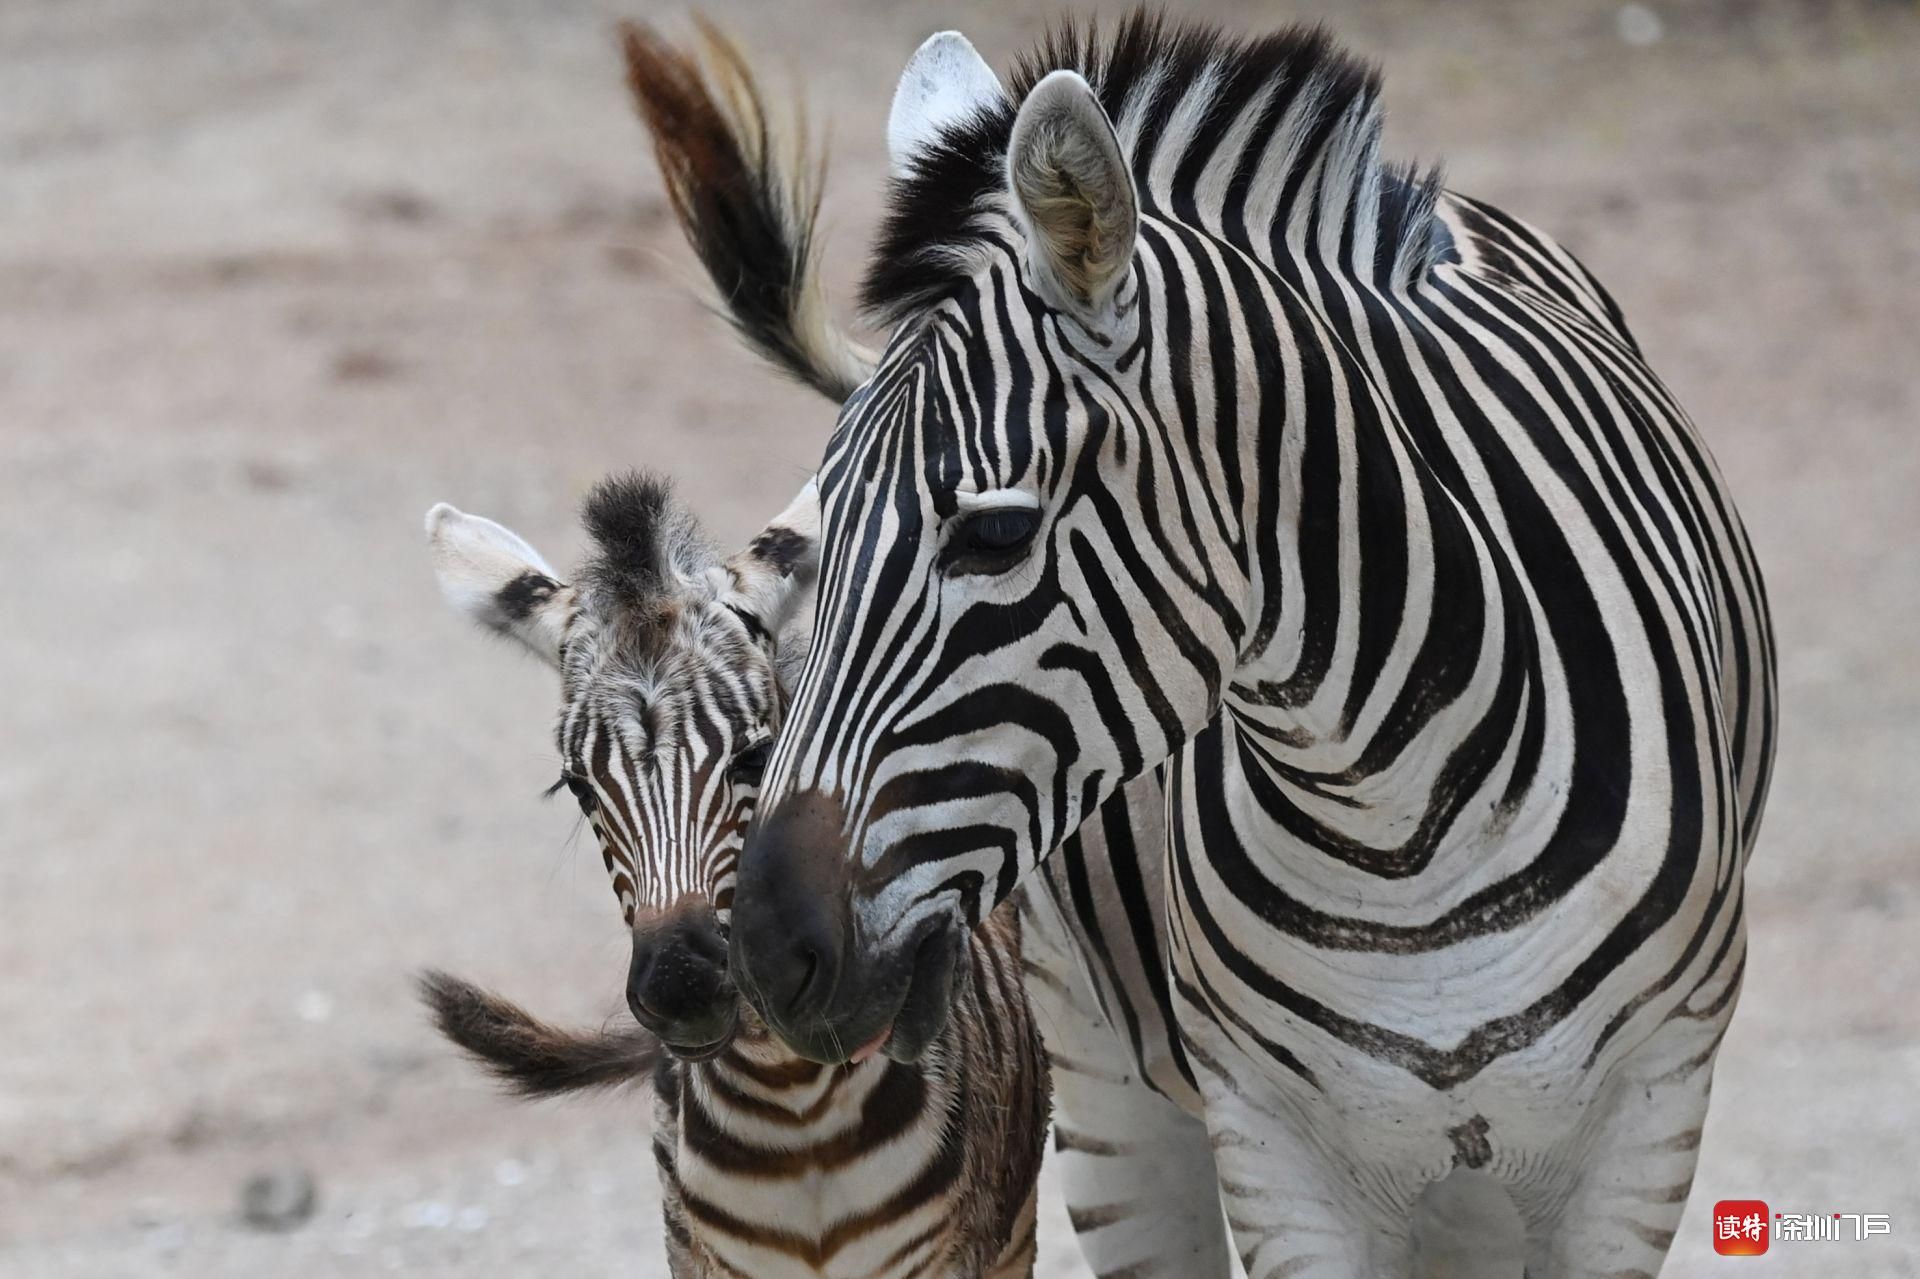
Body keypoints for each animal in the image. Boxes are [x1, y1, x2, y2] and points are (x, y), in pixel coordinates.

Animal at [725, 12, 1774, 1275]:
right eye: (819, 531)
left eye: (994, 533)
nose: (766, 950)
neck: (1405, 833)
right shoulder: (1276, 1148)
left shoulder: (1647, 1125)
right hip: (1111, 1085)